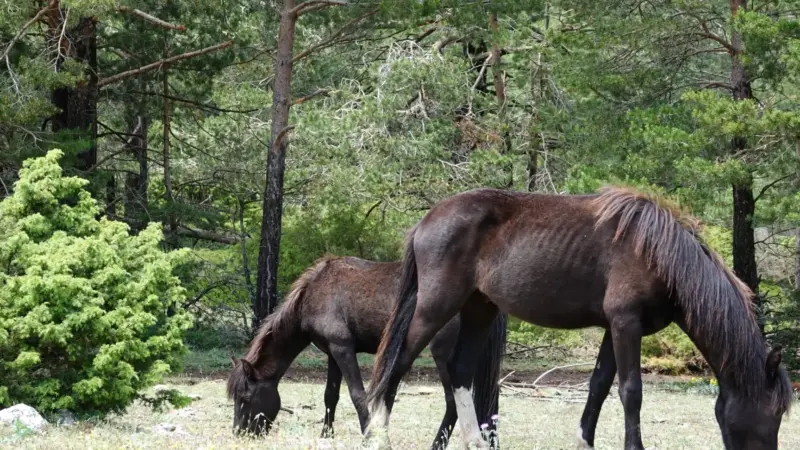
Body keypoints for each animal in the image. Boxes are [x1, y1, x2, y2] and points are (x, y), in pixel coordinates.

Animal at [226, 255, 508, 449]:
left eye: (245, 398)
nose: (239, 434)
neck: (314, 293)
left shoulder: (343, 349)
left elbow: (357, 395)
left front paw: (369, 437)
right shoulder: (332, 353)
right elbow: (330, 396)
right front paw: (326, 435)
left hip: (443, 355)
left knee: (452, 402)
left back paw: (436, 445)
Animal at [364, 186, 794, 450]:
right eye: (775, 412)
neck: (660, 255)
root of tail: (426, 220)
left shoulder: (614, 329)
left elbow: (599, 388)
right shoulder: (625, 325)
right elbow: (631, 392)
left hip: (478, 310)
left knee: (461, 372)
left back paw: (476, 442)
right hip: (435, 306)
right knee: (397, 365)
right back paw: (379, 437)